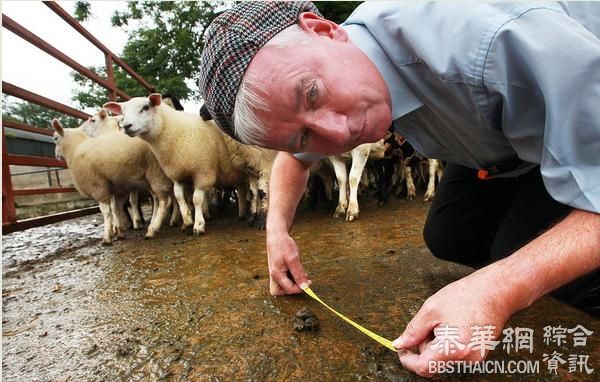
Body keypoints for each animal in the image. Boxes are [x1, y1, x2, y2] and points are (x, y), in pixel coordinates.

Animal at [103, 93, 248, 236]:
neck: (175, 132)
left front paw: (198, 225)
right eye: (122, 112)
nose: (127, 126)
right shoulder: (177, 174)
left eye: (146, 107)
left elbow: (196, 199)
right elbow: (178, 195)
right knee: (241, 188)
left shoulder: (204, 172)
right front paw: (187, 220)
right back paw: (242, 212)